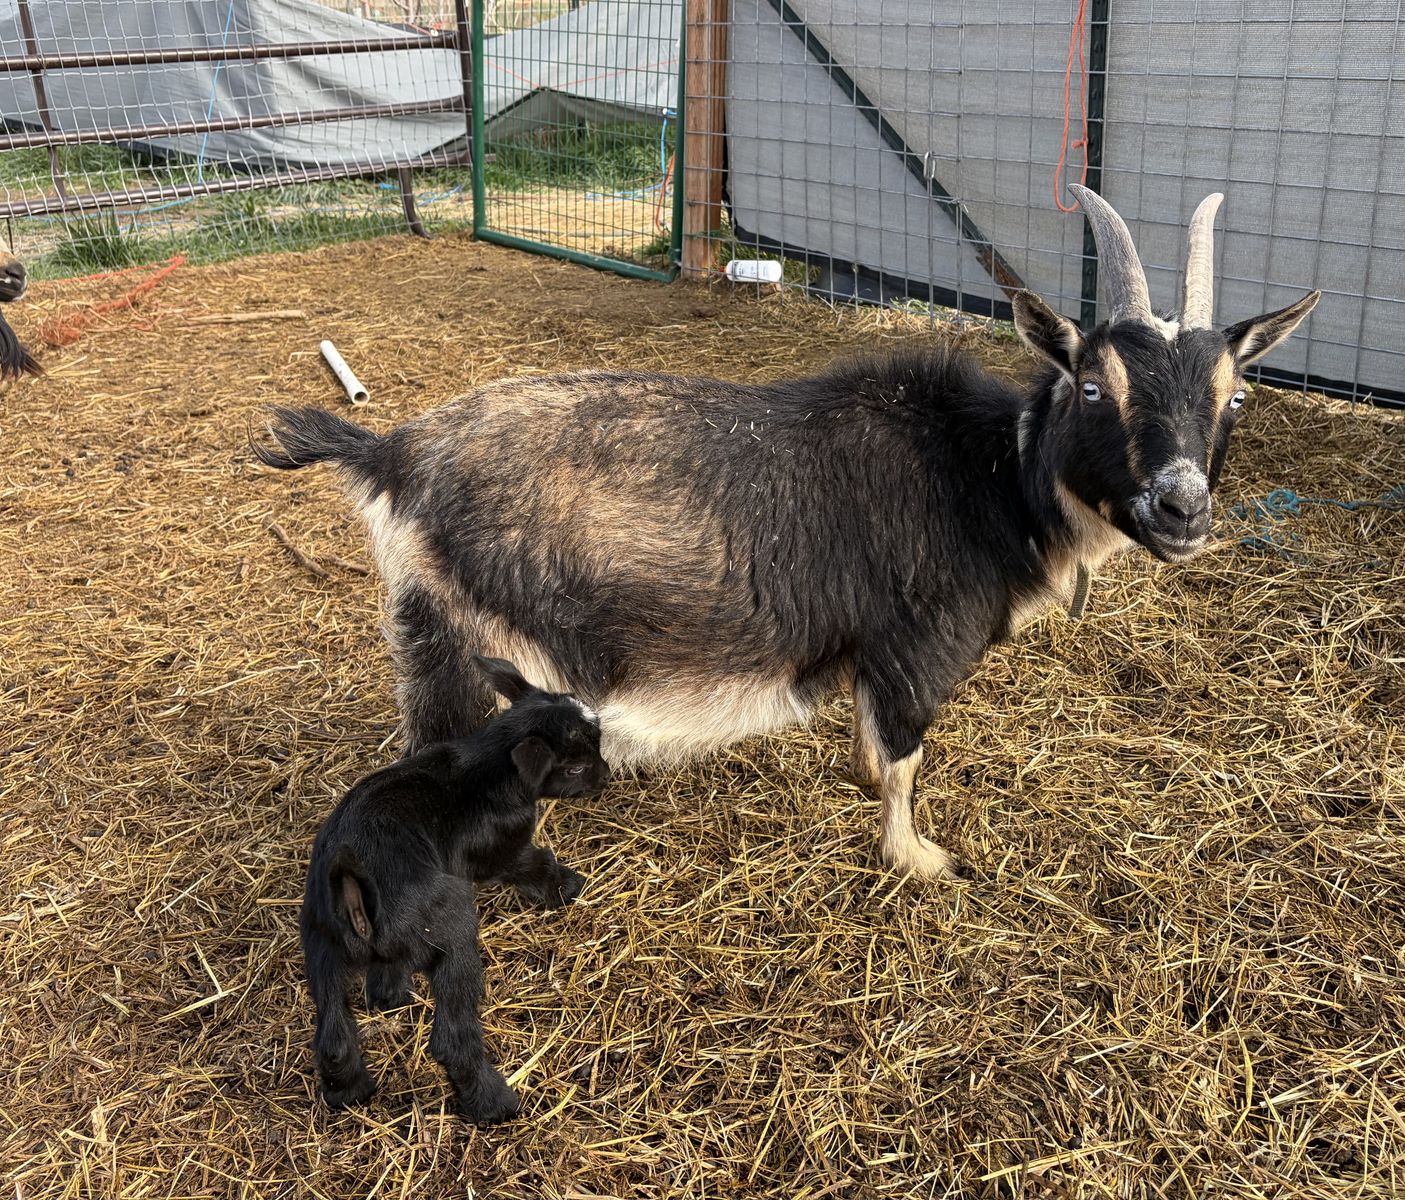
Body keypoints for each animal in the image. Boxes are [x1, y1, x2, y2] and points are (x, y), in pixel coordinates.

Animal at [258, 187, 1319, 882]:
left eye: (1231, 397)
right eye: (1096, 386)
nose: (1181, 508)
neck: (989, 477)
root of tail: (393, 451)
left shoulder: (868, 650)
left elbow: (871, 745)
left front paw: (863, 789)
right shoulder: (917, 646)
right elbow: (906, 759)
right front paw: (916, 859)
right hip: (449, 637)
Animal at [299, 655, 608, 1123]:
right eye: (573, 767)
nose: (606, 777)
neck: (491, 768)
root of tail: (351, 886)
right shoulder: (503, 850)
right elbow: (532, 863)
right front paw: (566, 887)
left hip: (323, 949)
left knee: (334, 1034)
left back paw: (353, 1085)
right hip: (451, 929)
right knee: (451, 1038)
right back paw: (493, 1104)